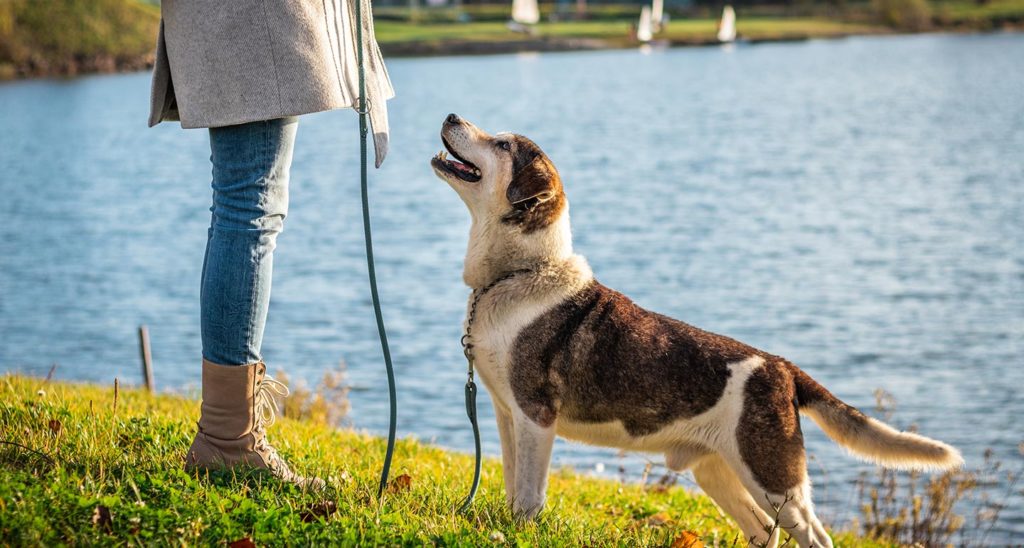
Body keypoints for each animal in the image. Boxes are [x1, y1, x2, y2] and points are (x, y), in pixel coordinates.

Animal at [430, 113, 958, 544]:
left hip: (772, 477)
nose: (451, 115)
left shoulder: (536, 417)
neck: (518, 274)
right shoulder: (507, 415)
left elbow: (529, 496)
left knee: (813, 535)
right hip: (719, 472)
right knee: (762, 531)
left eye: (501, 144)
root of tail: (784, 369)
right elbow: (512, 484)